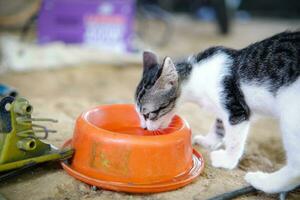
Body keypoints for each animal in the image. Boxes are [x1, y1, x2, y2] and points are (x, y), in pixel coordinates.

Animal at [134, 31, 300, 194]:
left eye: (148, 114)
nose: (144, 127)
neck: (196, 77)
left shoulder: (236, 110)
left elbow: (234, 140)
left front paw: (228, 161)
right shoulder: (224, 109)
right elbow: (219, 124)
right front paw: (209, 141)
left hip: (291, 115)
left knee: (296, 168)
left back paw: (264, 182)